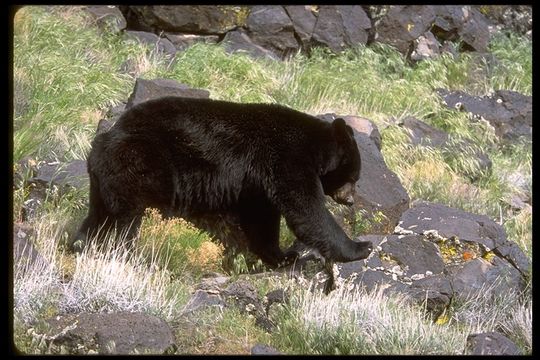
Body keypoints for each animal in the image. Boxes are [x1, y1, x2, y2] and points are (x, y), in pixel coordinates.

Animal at [71, 96, 374, 270]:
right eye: (353, 177)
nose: (350, 200)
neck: (315, 147)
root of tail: (107, 136)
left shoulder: (256, 183)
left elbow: (261, 217)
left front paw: (282, 256)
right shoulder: (286, 159)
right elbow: (307, 210)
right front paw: (360, 247)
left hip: (105, 178)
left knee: (99, 214)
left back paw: (81, 243)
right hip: (140, 160)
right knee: (127, 217)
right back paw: (124, 249)